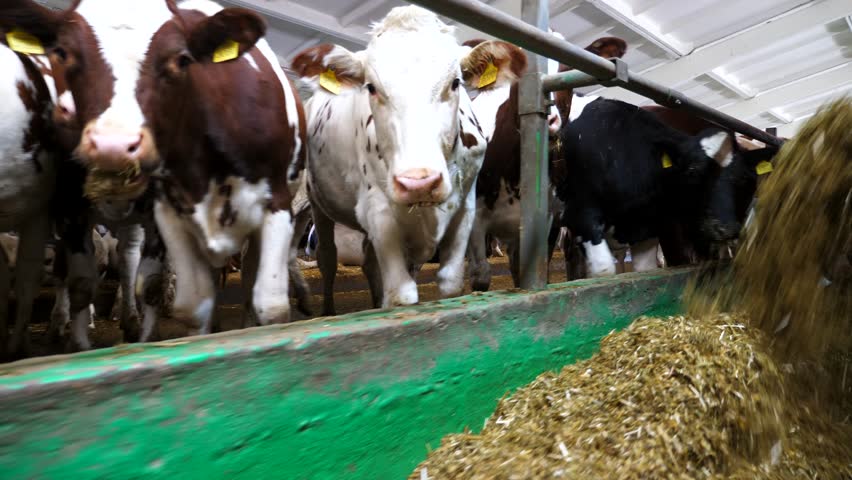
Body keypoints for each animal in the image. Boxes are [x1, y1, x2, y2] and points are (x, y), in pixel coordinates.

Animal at [291, 6, 524, 313]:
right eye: (371, 87)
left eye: (455, 82)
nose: (419, 182)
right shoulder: (378, 209)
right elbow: (402, 296)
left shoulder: (465, 208)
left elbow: (450, 284)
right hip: (317, 203)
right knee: (327, 257)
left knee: (367, 261)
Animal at [556, 98, 772, 277]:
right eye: (693, 171)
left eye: (744, 178)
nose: (725, 228)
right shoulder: (581, 214)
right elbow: (603, 271)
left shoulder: (646, 226)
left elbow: (645, 270)